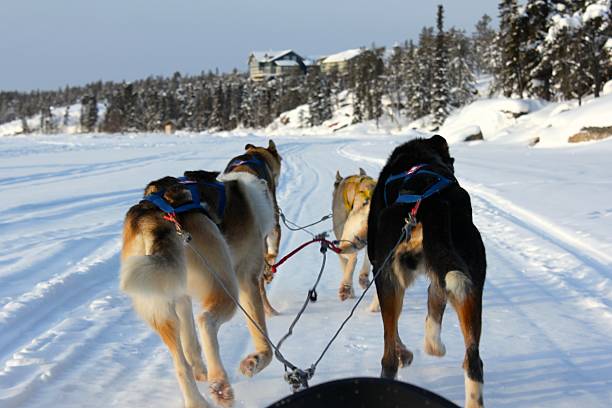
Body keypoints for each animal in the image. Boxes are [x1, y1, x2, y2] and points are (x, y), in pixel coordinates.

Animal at [119, 170, 272, 408]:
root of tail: (155, 213)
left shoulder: (182, 297)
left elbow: (191, 346)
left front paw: (200, 369)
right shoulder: (249, 281)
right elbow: (264, 340)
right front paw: (256, 361)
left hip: (162, 310)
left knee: (181, 365)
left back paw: (197, 400)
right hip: (227, 285)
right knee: (205, 321)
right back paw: (220, 385)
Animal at [366, 135, 486, 408]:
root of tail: (431, 206)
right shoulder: (440, 278)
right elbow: (433, 307)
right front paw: (433, 345)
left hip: (389, 279)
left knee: (388, 355)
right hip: (470, 282)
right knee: (473, 361)